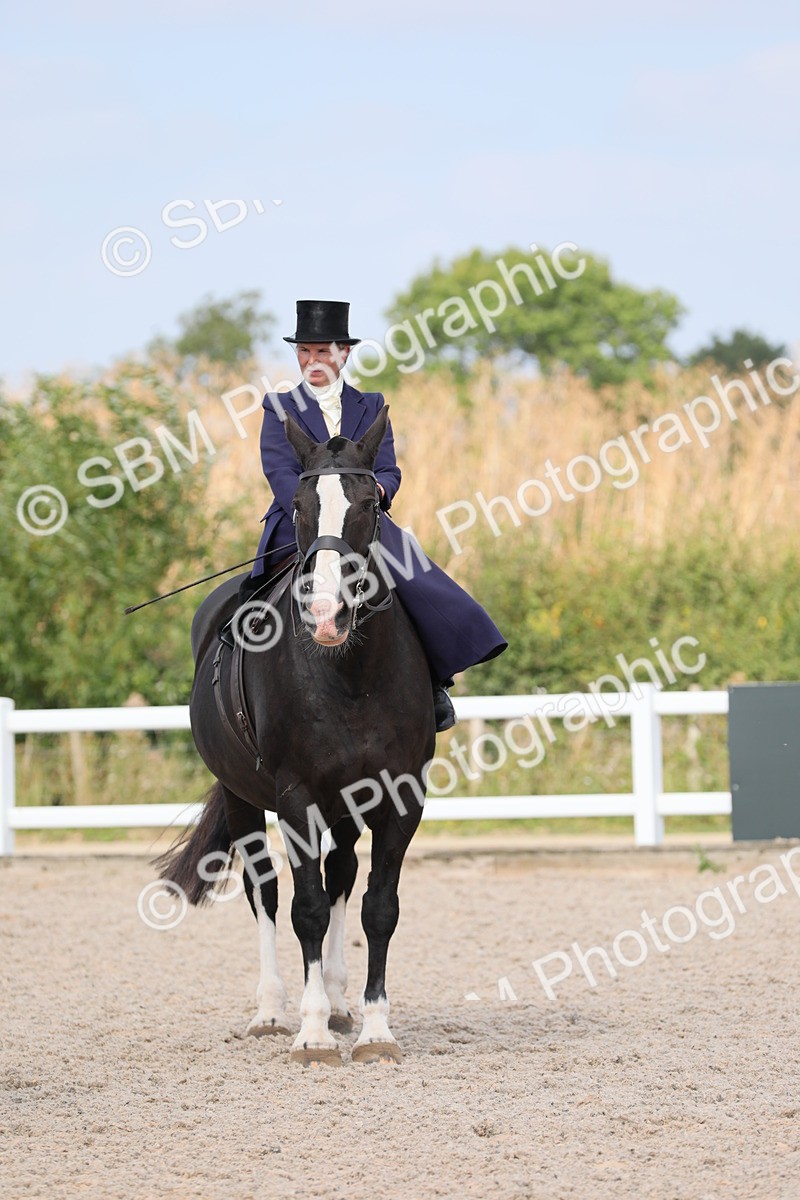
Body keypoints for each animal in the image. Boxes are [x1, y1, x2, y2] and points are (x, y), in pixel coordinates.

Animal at [156, 407, 435, 1066]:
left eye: (371, 503)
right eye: (302, 505)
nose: (328, 615)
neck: (349, 673)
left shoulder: (400, 795)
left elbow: (377, 908)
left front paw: (374, 1029)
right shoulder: (296, 795)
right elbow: (304, 908)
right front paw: (310, 1035)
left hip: (345, 804)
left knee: (341, 876)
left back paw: (336, 1002)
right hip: (242, 798)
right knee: (264, 891)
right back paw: (271, 1011)